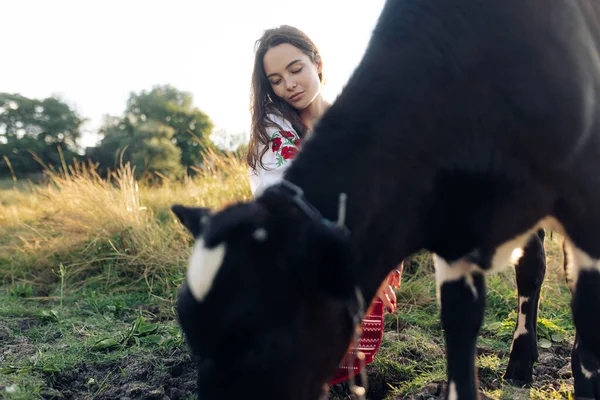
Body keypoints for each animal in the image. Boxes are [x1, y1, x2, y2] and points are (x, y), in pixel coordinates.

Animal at [172, 0, 600, 398]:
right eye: (189, 329)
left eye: (257, 344)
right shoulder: (451, 225)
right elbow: (460, 324)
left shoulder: (584, 200)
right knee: (532, 266)